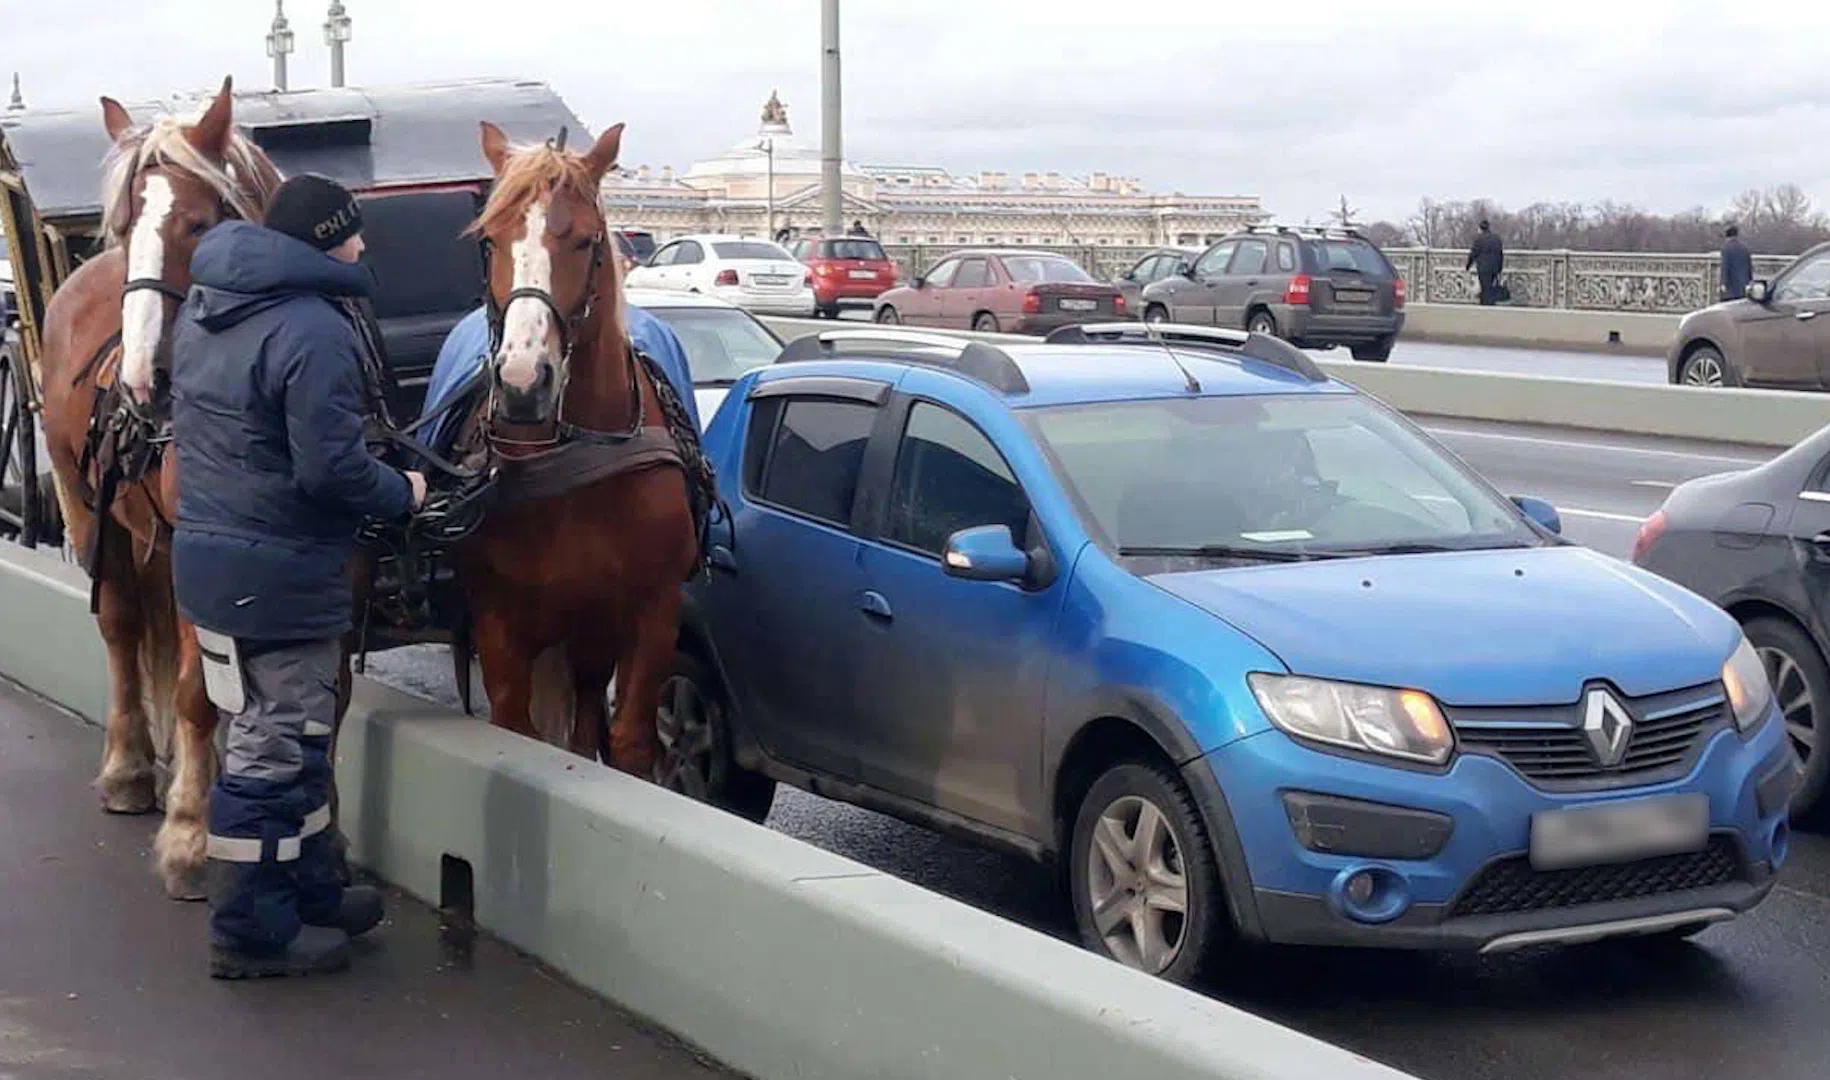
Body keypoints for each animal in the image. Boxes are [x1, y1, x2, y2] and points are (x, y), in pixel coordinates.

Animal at [36, 75, 281, 900]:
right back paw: (129, 768)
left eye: (201, 224)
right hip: (88, 508)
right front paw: (191, 834)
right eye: (123, 225)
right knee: (118, 628)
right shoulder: (189, 548)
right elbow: (196, 690)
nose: (142, 378)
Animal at [457, 124, 699, 768]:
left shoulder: (650, 613)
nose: (522, 382)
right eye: (490, 240)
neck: (577, 457)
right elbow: (514, 725)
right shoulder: (499, 618)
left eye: (587, 241)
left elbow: (629, 740)